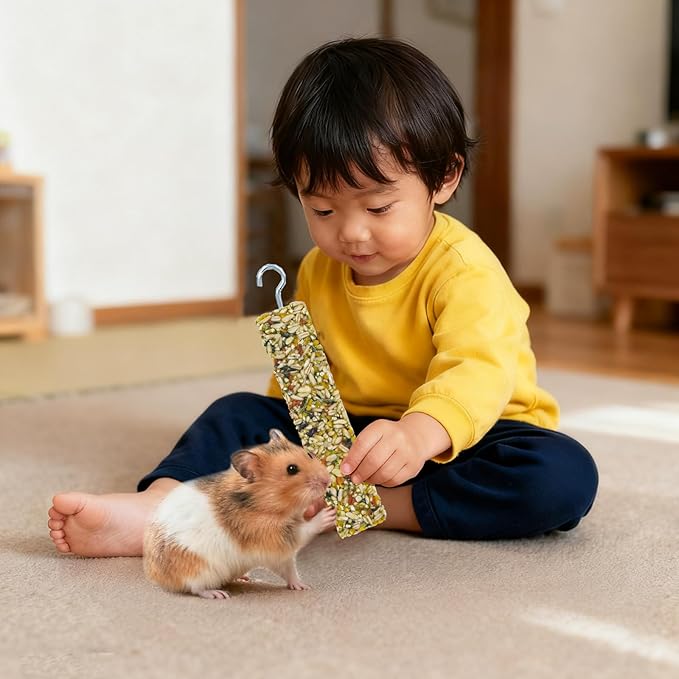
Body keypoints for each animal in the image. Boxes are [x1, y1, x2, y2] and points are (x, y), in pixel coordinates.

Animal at [142, 428, 335, 599]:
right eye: (292, 469)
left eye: (309, 454)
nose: (327, 480)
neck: (262, 504)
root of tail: (156, 576)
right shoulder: (272, 536)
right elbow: (304, 530)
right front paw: (329, 513)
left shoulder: (283, 557)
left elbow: (291, 572)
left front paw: (304, 587)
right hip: (199, 569)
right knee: (196, 588)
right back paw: (218, 594)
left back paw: (245, 578)